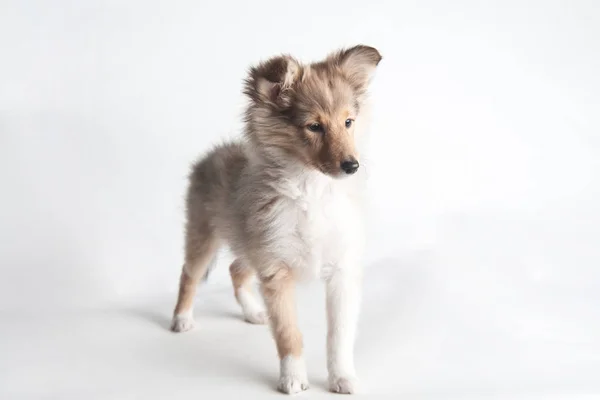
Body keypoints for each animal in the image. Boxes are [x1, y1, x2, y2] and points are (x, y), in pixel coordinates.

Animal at [171, 44, 382, 394]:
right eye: (314, 127)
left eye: (349, 121)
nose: (352, 166)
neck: (312, 190)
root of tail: (212, 154)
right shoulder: (276, 269)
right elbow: (288, 332)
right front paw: (293, 379)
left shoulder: (341, 270)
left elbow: (339, 335)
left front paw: (342, 378)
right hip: (204, 233)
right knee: (190, 274)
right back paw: (182, 319)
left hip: (249, 241)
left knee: (235, 269)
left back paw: (255, 312)